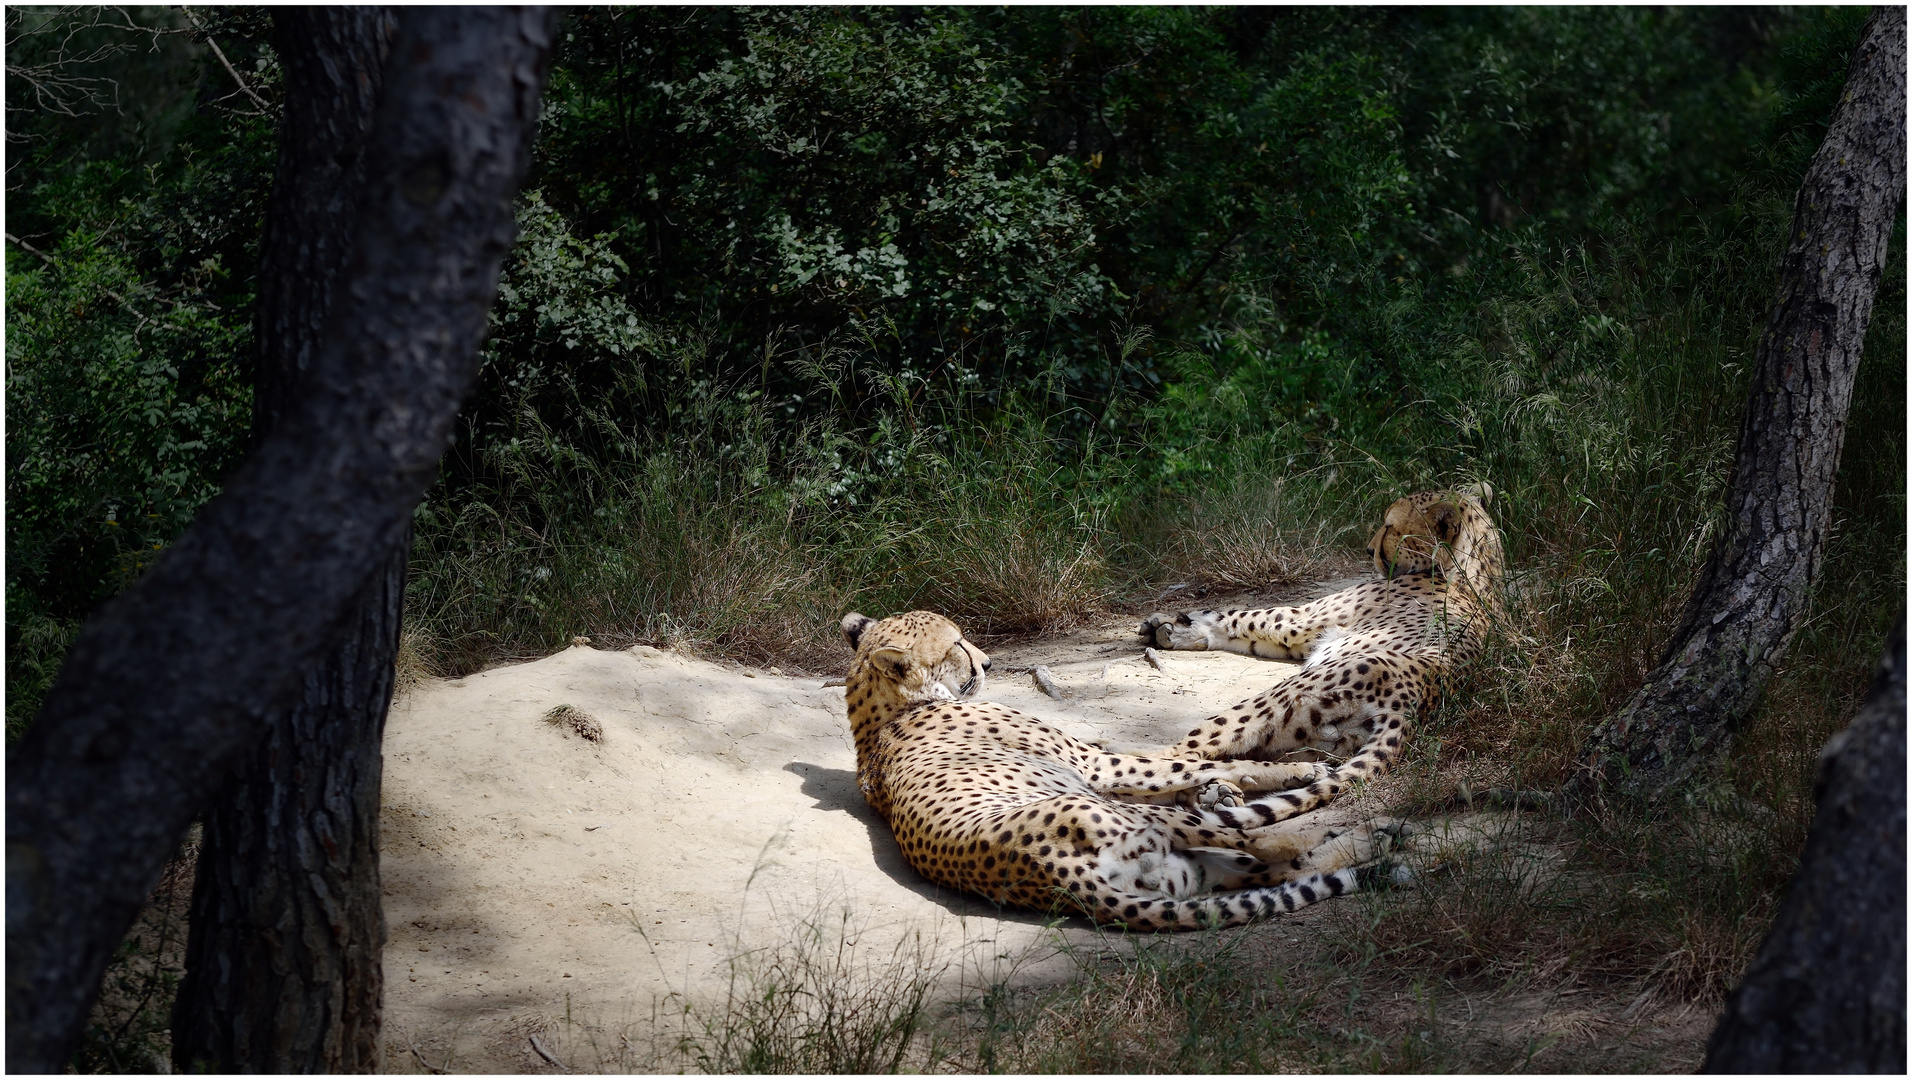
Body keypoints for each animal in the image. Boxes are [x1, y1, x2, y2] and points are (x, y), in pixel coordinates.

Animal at [837, 611, 1407, 928]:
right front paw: (1289, 771)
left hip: (1182, 873)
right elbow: (1174, 761)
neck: (888, 709)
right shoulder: (1095, 765)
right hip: (1139, 824)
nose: (989, 663)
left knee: (1272, 868)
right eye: (956, 643)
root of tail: (1057, 880)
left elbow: (1178, 766)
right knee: (1265, 843)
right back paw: (1376, 832)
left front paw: (1225, 783)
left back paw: (1372, 843)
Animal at [1131, 483, 1506, 814]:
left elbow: (1246, 616)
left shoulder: (1302, 618)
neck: (1478, 568)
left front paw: (1174, 624)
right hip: (1314, 743)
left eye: (1389, 526)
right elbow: (1247, 629)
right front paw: (1174, 629)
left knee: (1181, 754)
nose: (1368, 549)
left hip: (1271, 702)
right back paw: (1217, 793)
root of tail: (1410, 705)